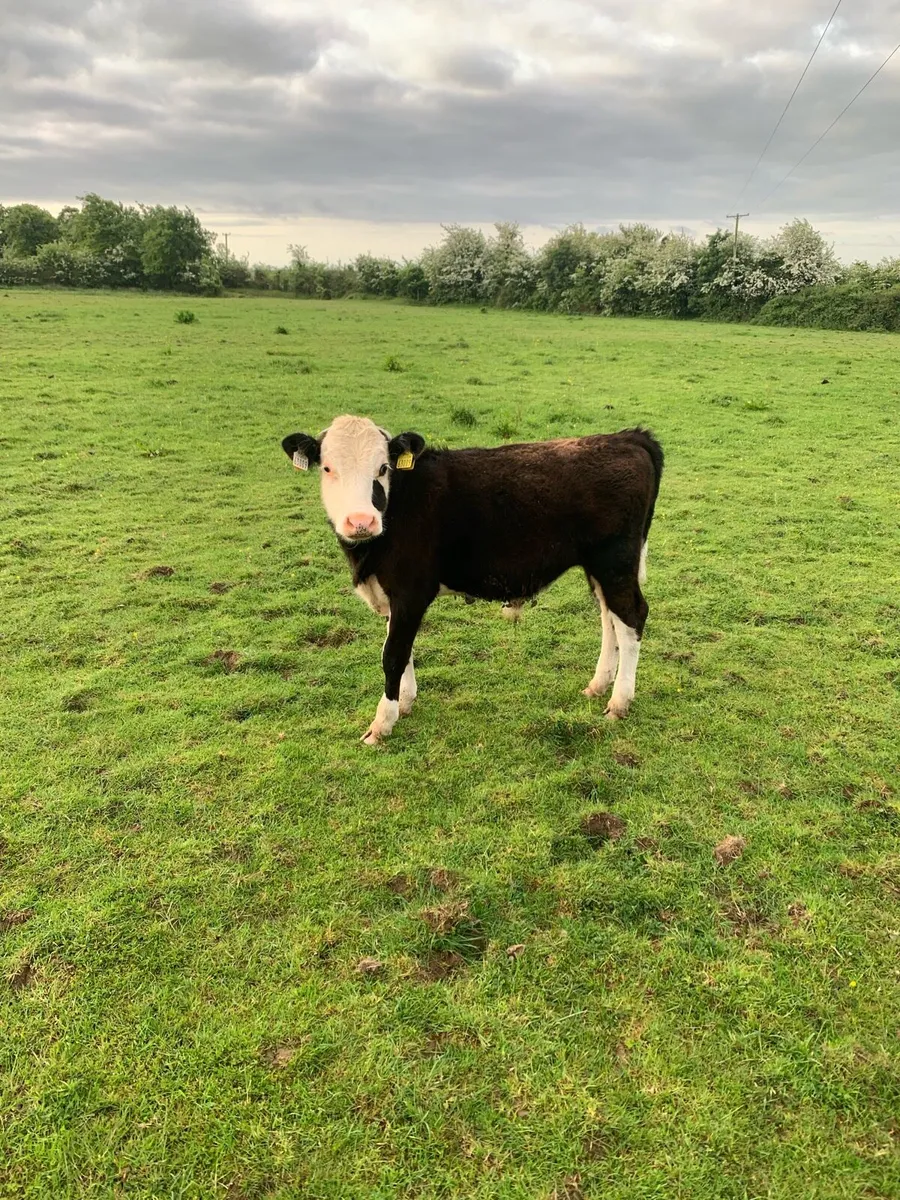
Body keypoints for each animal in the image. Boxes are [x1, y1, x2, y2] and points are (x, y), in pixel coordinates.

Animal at [282, 415, 663, 745]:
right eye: (328, 468)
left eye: (383, 468)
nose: (360, 521)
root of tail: (627, 437)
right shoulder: (394, 596)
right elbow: (402, 649)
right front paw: (405, 702)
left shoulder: (411, 591)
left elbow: (393, 653)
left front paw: (382, 723)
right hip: (600, 567)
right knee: (609, 617)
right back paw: (599, 685)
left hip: (615, 562)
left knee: (631, 617)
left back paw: (619, 702)